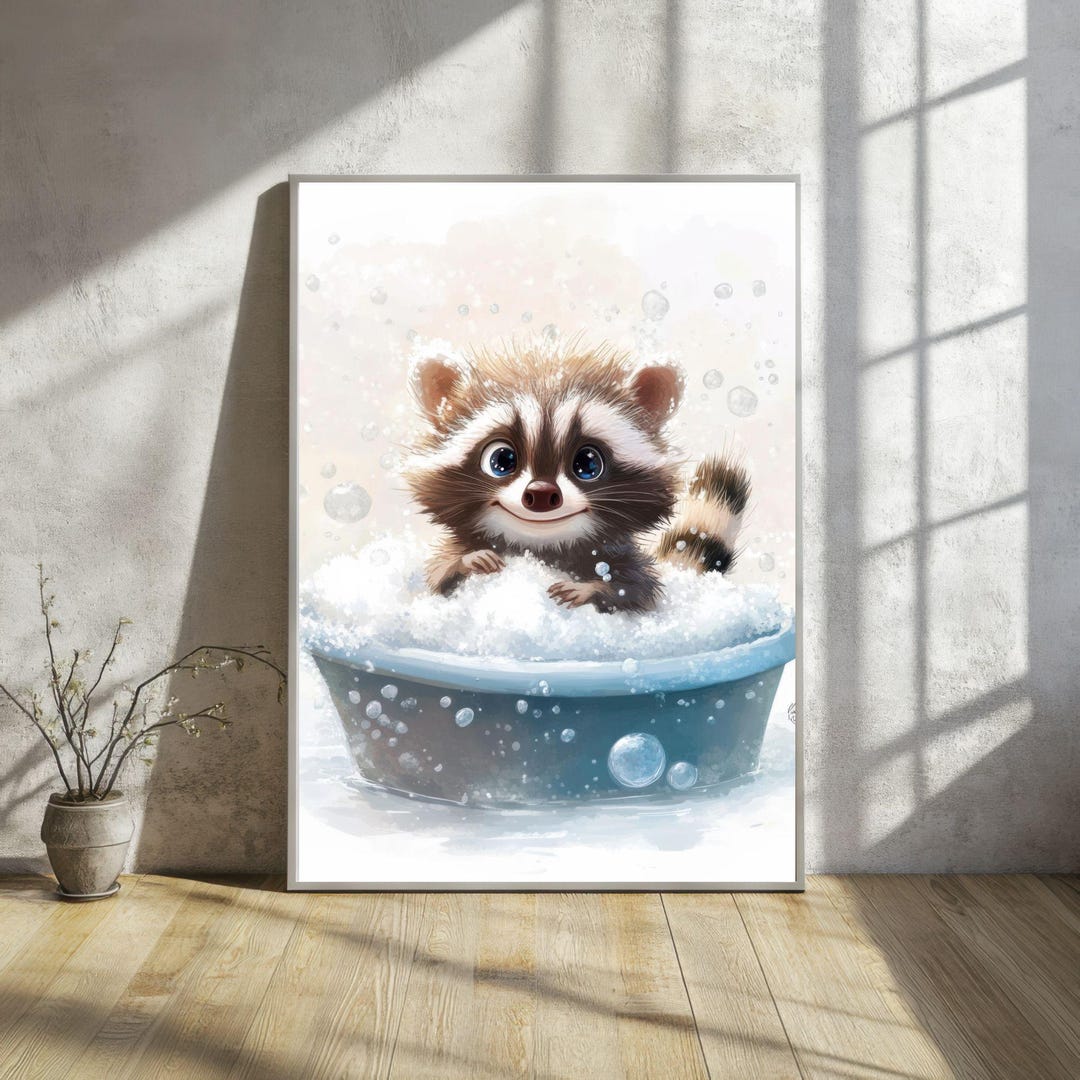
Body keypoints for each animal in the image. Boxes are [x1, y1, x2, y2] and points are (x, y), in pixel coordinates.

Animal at [404, 342, 749, 613]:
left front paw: (592, 588)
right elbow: (437, 575)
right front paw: (468, 560)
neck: (541, 550)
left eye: (587, 463)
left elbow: (639, 591)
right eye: (501, 460)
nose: (541, 494)